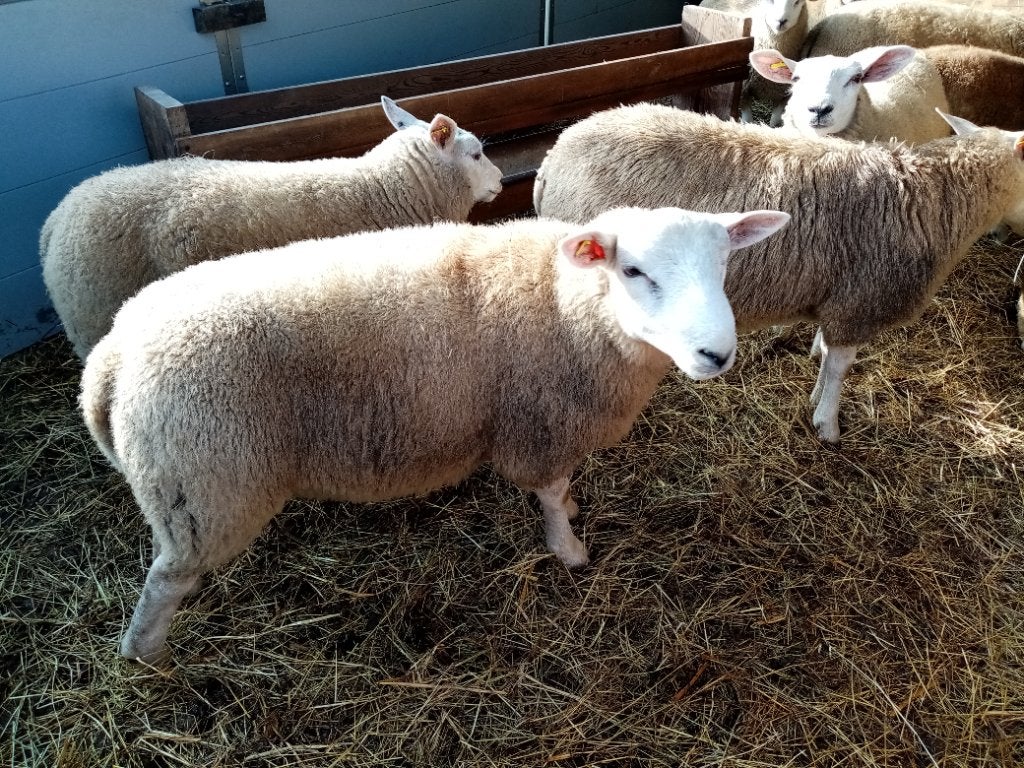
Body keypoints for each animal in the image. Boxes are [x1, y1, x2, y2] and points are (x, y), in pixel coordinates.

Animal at [80, 205, 791, 661]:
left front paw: (572, 513)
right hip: (204, 483)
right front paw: (569, 549)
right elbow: (549, 493)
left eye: (724, 262)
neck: (566, 302)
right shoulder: (539, 422)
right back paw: (142, 654)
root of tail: (112, 355)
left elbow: (563, 488)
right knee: (164, 580)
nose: (717, 354)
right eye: (635, 271)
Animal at [533, 103, 1024, 442]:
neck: (931, 199)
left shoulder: (837, 300)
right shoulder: (858, 302)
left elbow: (826, 357)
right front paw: (827, 424)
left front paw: (816, 389)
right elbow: (841, 367)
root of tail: (553, 157)